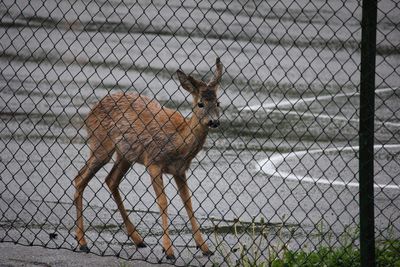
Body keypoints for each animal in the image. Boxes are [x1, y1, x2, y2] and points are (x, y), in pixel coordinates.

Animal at [74, 58, 223, 260]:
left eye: (218, 102)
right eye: (200, 104)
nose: (214, 122)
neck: (179, 141)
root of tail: (90, 112)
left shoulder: (180, 170)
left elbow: (188, 203)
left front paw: (204, 247)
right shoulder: (153, 161)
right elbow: (163, 202)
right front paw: (168, 250)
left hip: (125, 154)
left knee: (111, 180)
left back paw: (138, 239)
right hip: (100, 144)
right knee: (80, 179)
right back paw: (82, 242)